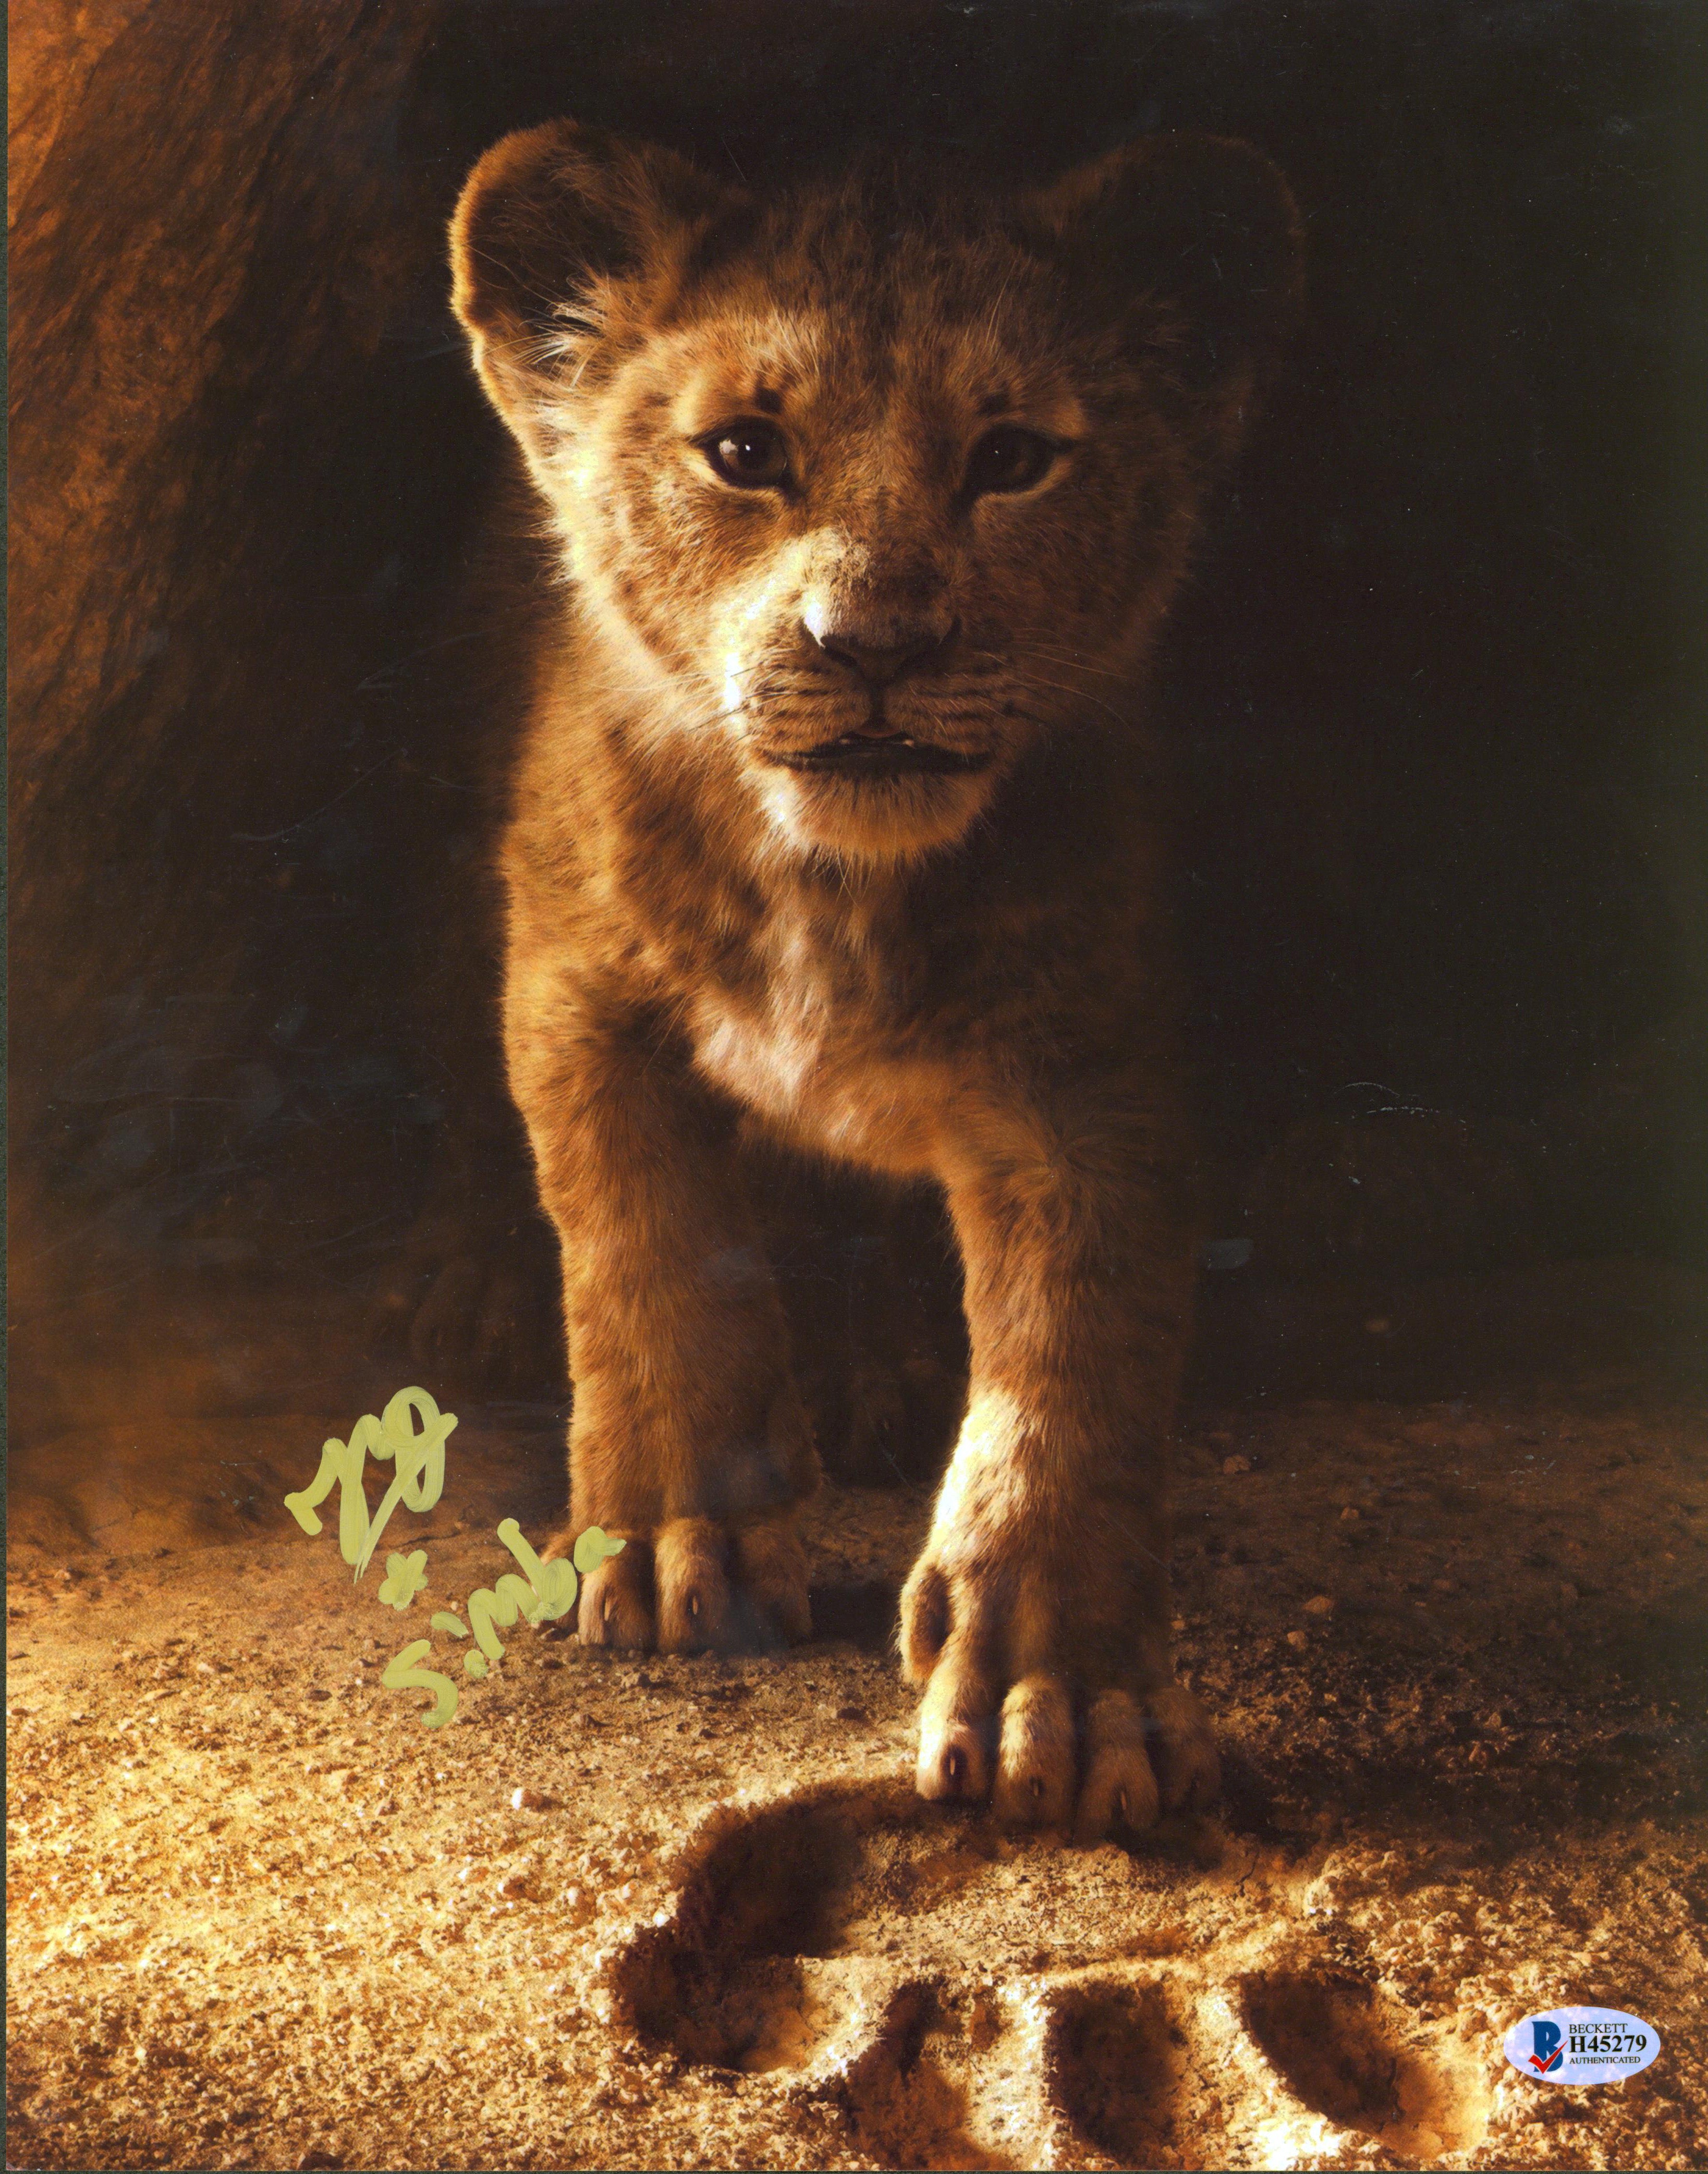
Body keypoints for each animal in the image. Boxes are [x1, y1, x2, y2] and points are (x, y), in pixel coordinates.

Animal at [448, 119, 1301, 1840]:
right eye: (744, 452)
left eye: (1014, 457)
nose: (876, 644)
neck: (830, 883)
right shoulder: (576, 988)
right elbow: (647, 1253)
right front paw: (675, 1541)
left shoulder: (1087, 1068)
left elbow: (1074, 1366)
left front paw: (1064, 1693)